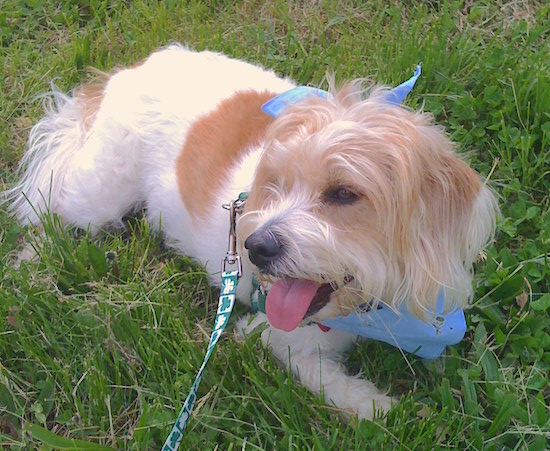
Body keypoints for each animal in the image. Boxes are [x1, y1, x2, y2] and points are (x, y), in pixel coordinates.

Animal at [3, 46, 500, 420]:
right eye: (274, 183)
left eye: (344, 193)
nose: (255, 247)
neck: (367, 308)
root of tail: (135, 68)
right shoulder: (268, 336)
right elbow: (327, 380)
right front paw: (376, 406)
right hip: (97, 194)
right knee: (49, 207)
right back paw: (31, 263)